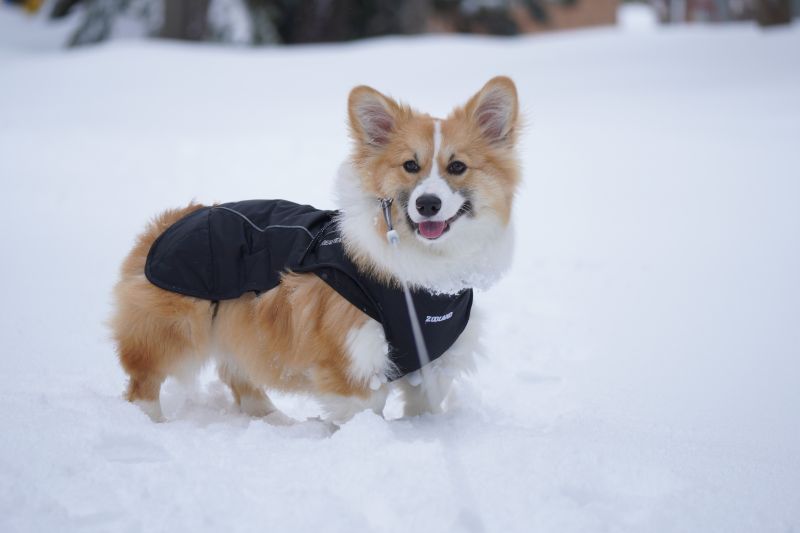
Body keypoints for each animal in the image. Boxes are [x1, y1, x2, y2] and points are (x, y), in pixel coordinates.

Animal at [114, 76, 524, 424]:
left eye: (457, 167)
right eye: (410, 165)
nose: (427, 204)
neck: (424, 276)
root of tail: (170, 222)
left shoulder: (433, 363)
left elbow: (423, 410)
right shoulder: (352, 357)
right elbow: (364, 412)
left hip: (239, 327)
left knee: (241, 377)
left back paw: (275, 420)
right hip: (176, 329)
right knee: (143, 383)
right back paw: (151, 423)